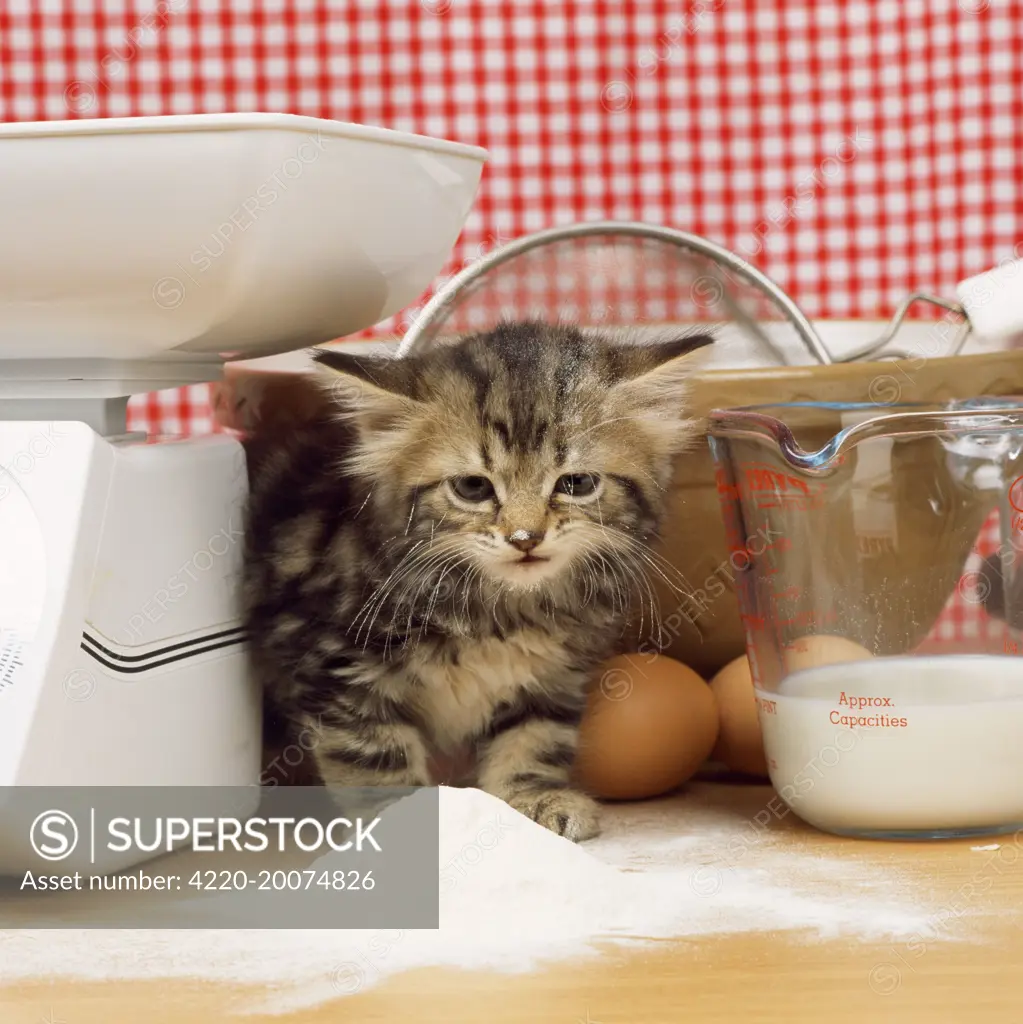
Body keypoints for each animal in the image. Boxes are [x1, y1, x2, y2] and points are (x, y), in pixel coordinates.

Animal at [241, 319, 712, 839]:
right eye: (472, 487)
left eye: (576, 484)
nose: (526, 538)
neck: (498, 609)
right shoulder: (339, 671)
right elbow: (377, 759)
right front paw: (403, 821)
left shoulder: (552, 679)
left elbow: (533, 739)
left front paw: (531, 799)